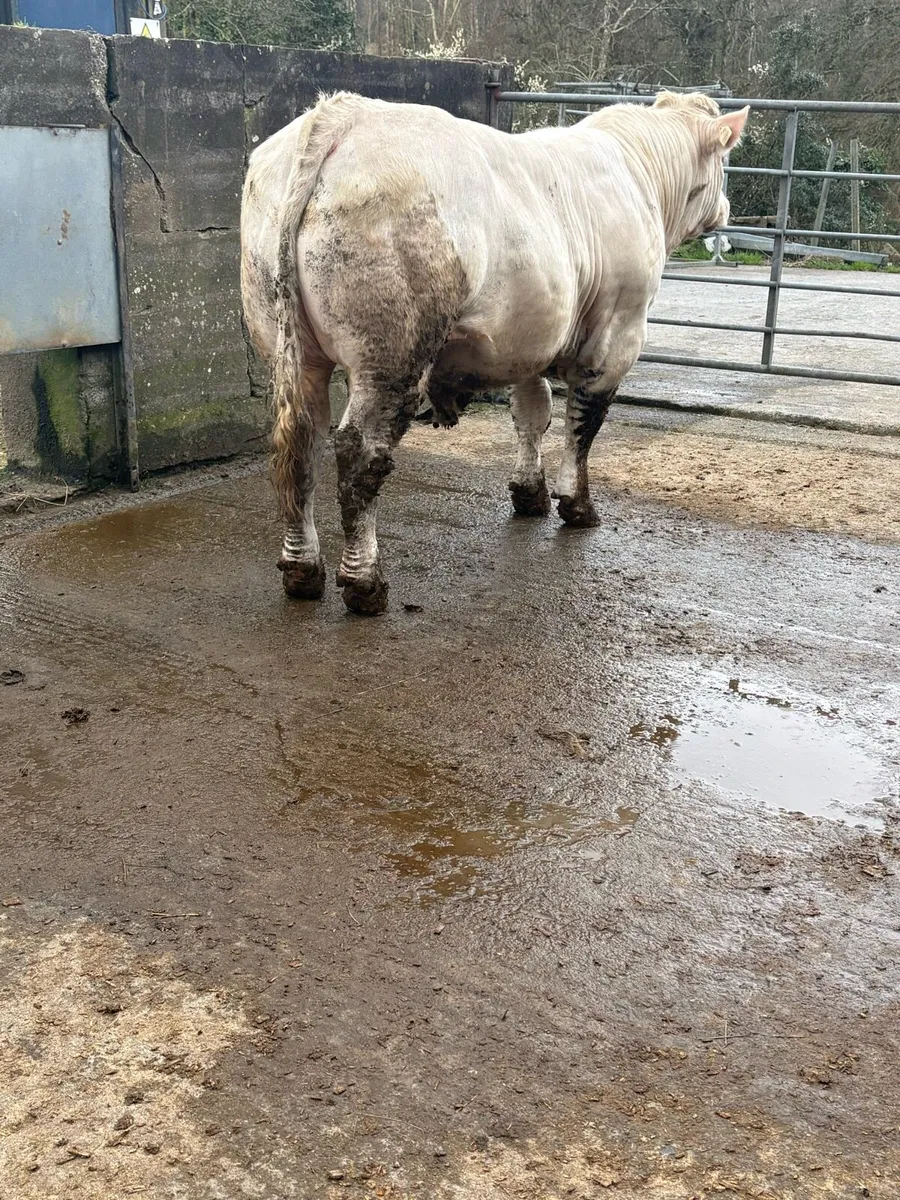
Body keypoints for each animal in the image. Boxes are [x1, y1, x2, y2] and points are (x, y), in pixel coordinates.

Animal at [241, 90, 748, 614]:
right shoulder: (617, 336)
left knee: (300, 442)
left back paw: (303, 570)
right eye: (725, 162)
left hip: (289, 346)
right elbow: (583, 425)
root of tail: (340, 114)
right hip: (390, 353)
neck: (639, 167)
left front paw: (530, 494)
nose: (726, 209)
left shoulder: (528, 339)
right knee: (360, 454)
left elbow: (533, 414)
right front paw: (577, 505)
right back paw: (365, 583)